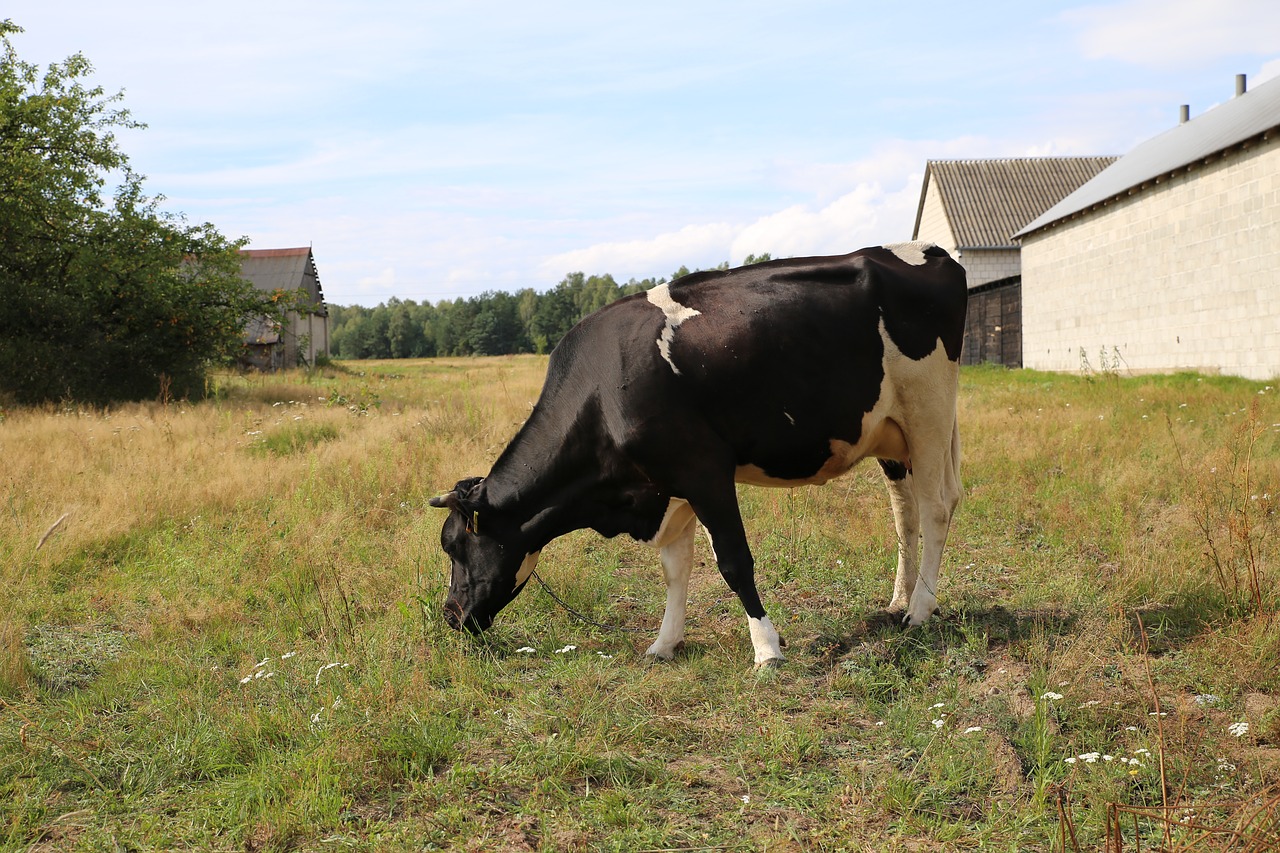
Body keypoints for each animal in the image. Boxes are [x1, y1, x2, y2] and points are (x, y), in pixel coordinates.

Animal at [432, 239, 967, 666]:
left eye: (454, 545)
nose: (450, 614)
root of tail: (931, 251)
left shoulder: (704, 470)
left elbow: (733, 561)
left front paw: (766, 648)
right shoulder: (668, 484)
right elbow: (675, 568)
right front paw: (664, 644)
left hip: (929, 410)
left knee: (936, 506)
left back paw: (920, 610)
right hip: (890, 433)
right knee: (905, 514)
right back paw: (900, 600)